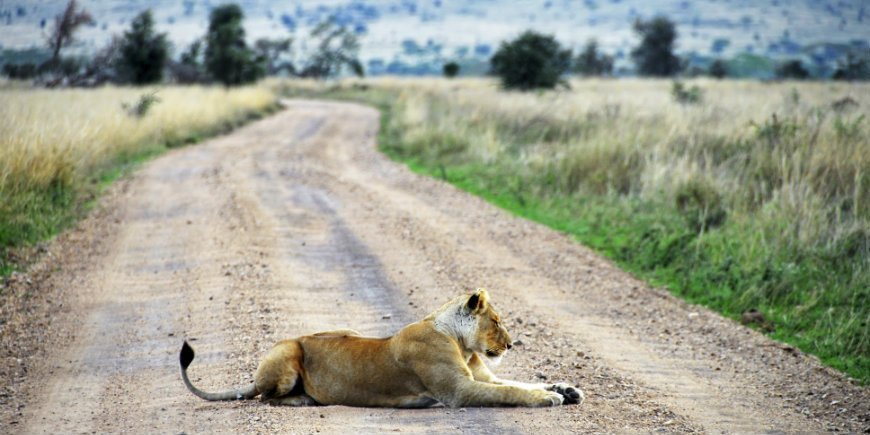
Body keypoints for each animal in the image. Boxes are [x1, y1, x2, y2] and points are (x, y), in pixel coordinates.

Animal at [179, 288, 583, 408]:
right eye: (497, 321)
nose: (512, 344)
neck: (461, 342)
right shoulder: (458, 391)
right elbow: (512, 392)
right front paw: (549, 399)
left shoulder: (480, 378)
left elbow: (520, 382)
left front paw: (567, 389)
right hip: (287, 352)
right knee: (265, 396)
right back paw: (303, 400)